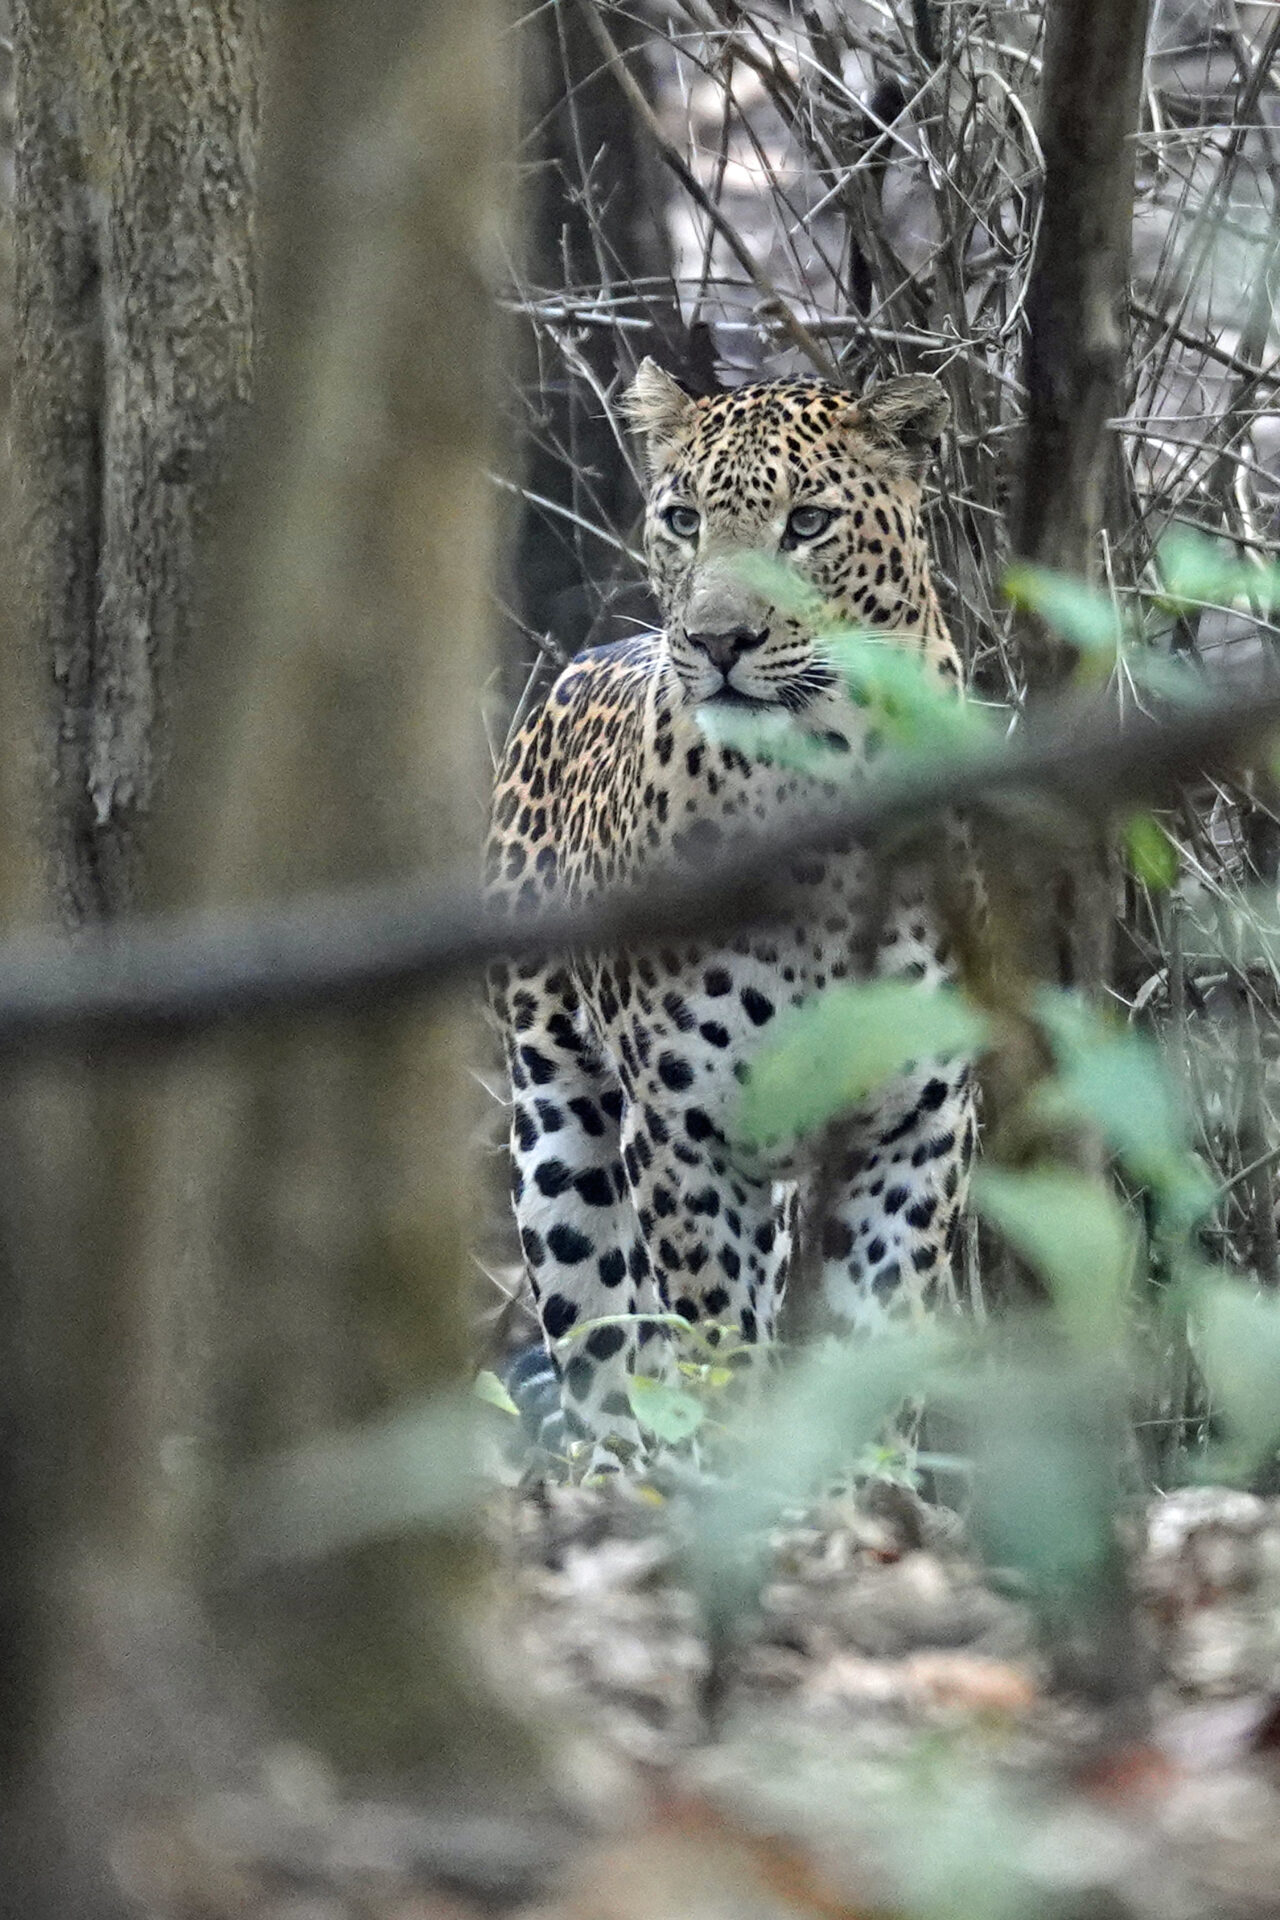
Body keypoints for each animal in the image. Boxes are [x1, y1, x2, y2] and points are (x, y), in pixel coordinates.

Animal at [487, 359, 977, 1461]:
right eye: (682, 518)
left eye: (807, 523)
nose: (716, 640)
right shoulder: (688, 1132)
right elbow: (715, 1341)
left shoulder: (915, 1125)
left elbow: (866, 1337)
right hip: (558, 1125)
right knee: (599, 1339)